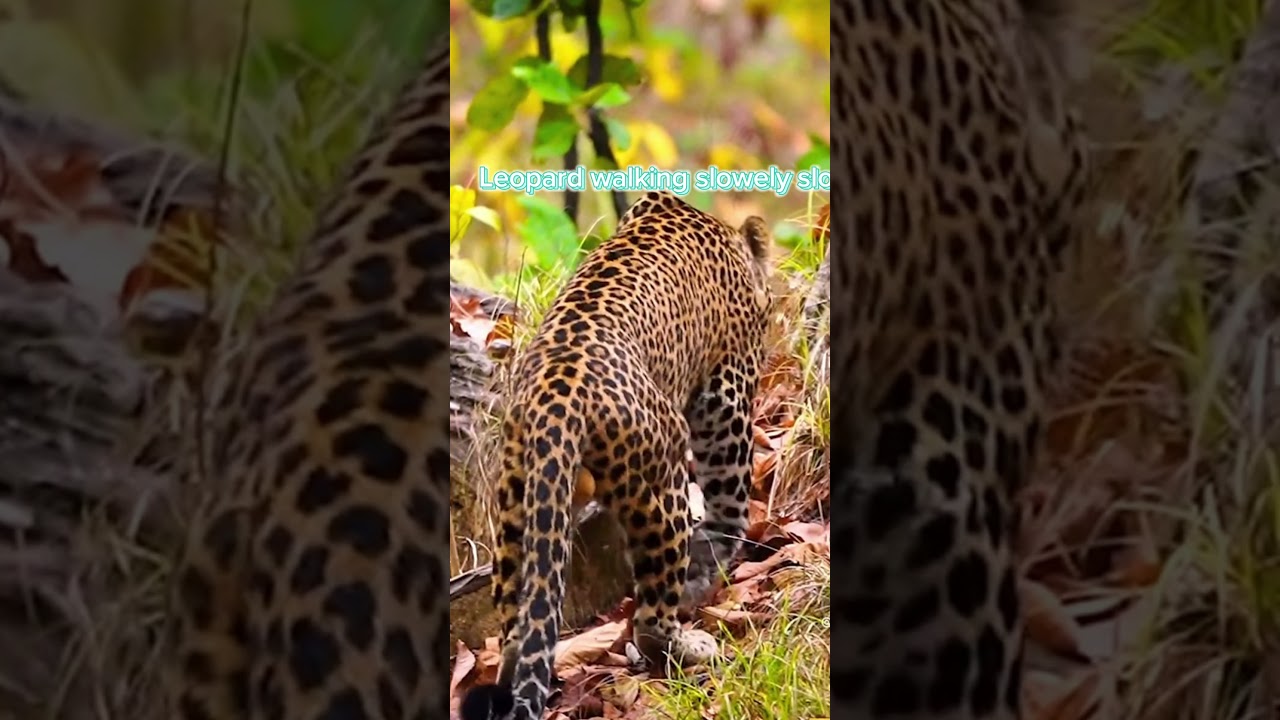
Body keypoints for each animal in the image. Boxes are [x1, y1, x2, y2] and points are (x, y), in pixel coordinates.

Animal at [459, 191, 774, 720]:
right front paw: (718, 551)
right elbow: (730, 490)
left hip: (517, 503)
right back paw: (688, 647)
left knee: (516, 624)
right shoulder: (727, 387)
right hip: (661, 484)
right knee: (650, 616)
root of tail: (552, 401)